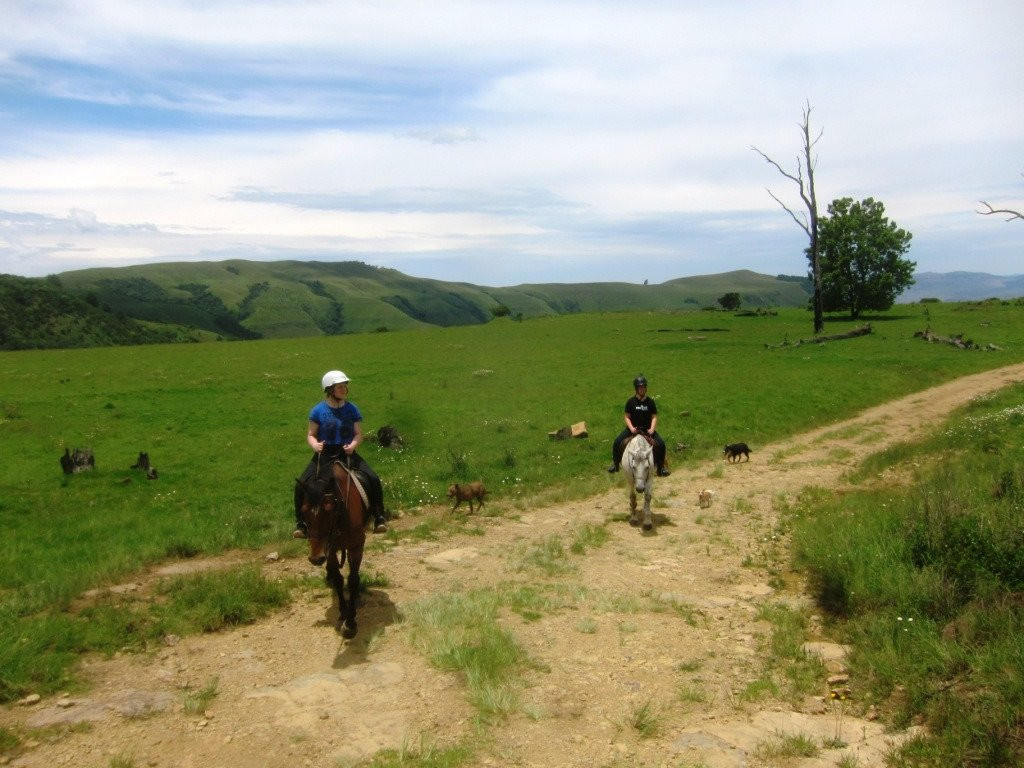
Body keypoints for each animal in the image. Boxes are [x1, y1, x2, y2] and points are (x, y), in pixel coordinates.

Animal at [294, 460, 370, 638]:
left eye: (329, 510)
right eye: (303, 510)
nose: (316, 558)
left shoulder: (357, 545)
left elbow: (353, 580)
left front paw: (350, 623)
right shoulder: (330, 549)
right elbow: (338, 579)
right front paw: (343, 611)